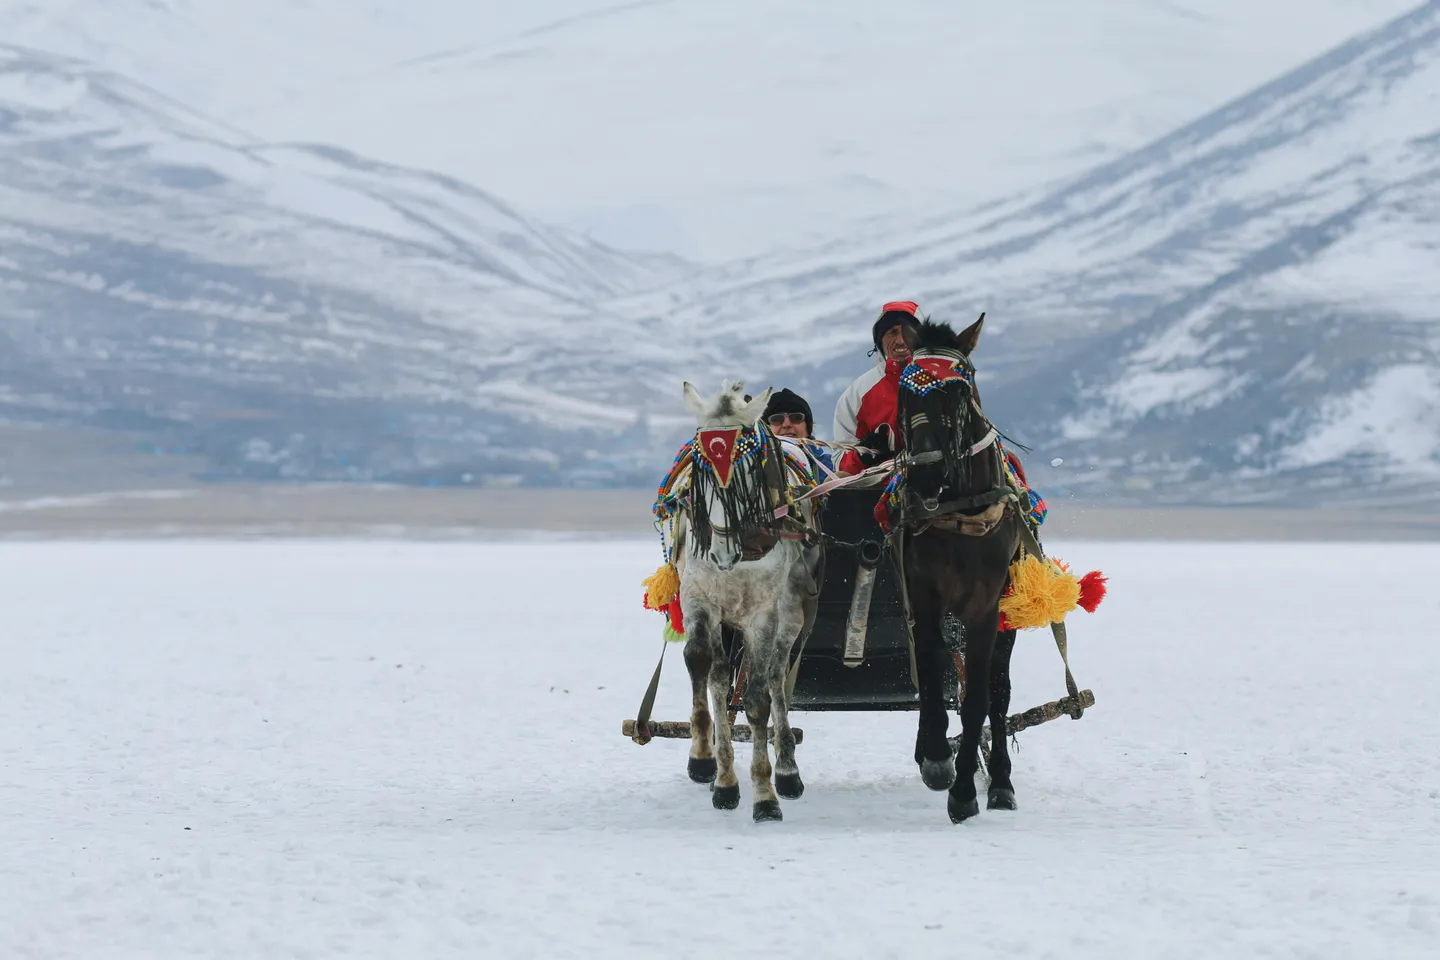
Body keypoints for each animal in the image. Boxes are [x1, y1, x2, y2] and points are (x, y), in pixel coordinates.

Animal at [671, 380, 824, 822]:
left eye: (748, 467)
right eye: (700, 467)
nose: (723, 554)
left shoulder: (763, 613)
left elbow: (757, 701)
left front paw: (764, 795)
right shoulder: (699, 597)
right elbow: (701, 665)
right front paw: (711, 767)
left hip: (791, 614)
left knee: (775, 677)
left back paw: (787, 771)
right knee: (722, 678)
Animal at [888, 315, 1024, 823]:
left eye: (958, 391)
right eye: (906, 392)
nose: (926, 475)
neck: (960, 512)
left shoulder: (985, 608)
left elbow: (977, 700)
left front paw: (965, 791)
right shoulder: (923, 597)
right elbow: (930, 673)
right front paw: (935, 759)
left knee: (999, 693)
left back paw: (1001, 783)